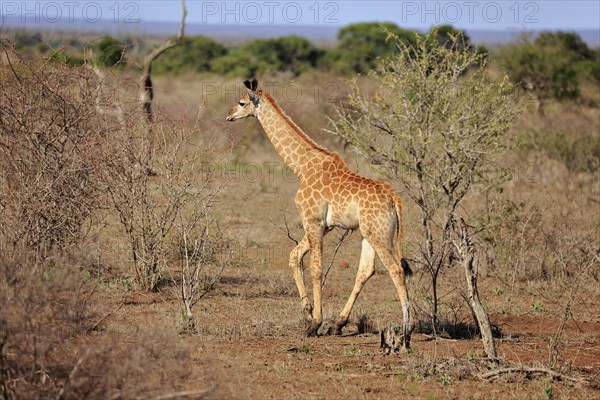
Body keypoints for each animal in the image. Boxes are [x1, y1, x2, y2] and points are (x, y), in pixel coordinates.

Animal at [226, 79, 412, 350]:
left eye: (242, 102)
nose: (229, 115)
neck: (303, 166)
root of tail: (394, 200)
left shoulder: (312, 219)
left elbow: (316, 268)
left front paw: (315, 323)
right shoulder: (325, 225)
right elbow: (294, 256)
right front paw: (307, 314)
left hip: (380, 235)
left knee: (396, 269)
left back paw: (407, 332)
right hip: (368, 233)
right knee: (367, 270)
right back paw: (339, 324)